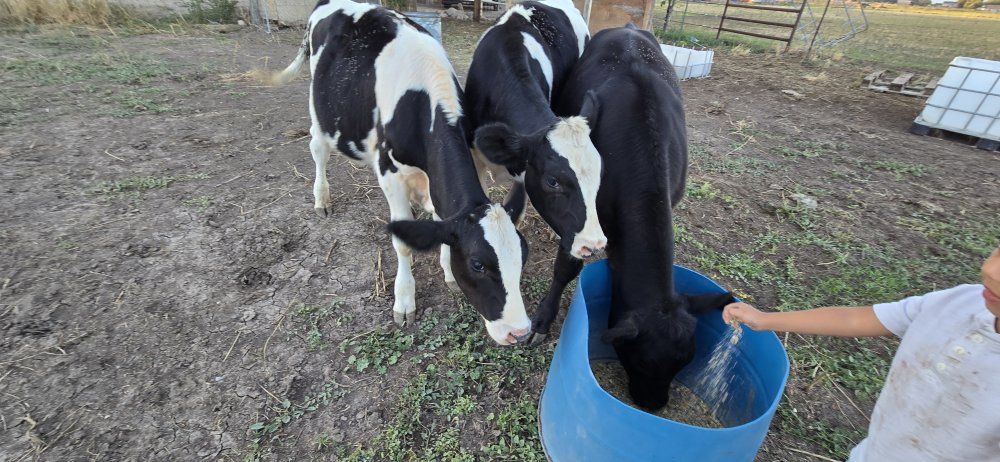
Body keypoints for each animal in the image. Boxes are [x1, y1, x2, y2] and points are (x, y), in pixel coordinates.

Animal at [270, 0, 534, 345]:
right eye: (478, 265)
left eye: (523, 256)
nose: (520, 332)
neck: (426, 103)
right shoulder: (390, 174)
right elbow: (403, 242)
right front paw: (404, 300)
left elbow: (441, 223)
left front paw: (447, 272)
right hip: (319, 107)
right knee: (317, 148)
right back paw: (321, 199)